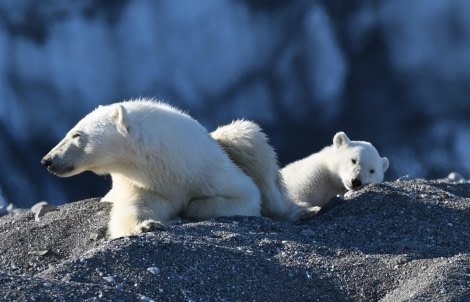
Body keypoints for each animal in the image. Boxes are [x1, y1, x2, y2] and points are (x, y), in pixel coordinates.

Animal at [41, 99, 290, 238]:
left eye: (76, 134)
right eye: (71, 131)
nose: (47, 160)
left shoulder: (206, 169)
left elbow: (245, 195)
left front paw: (190, 208)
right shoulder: (145, 184)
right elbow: (133, 208)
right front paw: (145, 225)